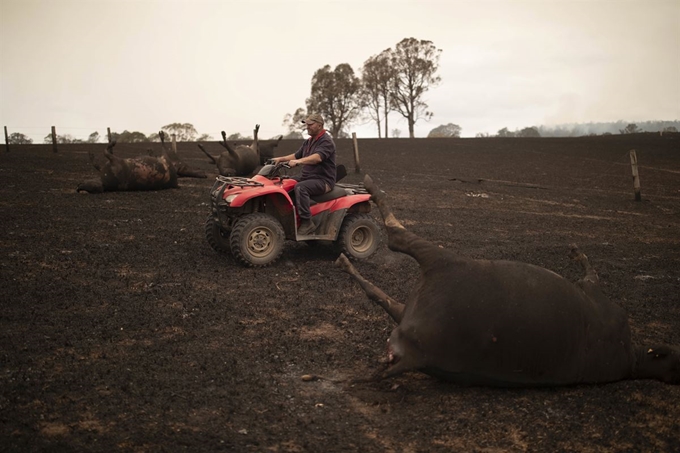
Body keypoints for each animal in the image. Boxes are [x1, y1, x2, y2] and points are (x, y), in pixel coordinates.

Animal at [336, 175, 680, 386]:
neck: (632, 358)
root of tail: (413, 354)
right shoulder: (594, 294)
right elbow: (588, 268)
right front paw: (575, 250)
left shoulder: (595, 293)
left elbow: (590, 271)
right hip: (421, 291)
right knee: (382, 284)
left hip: (441, 263)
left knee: (396, 239)